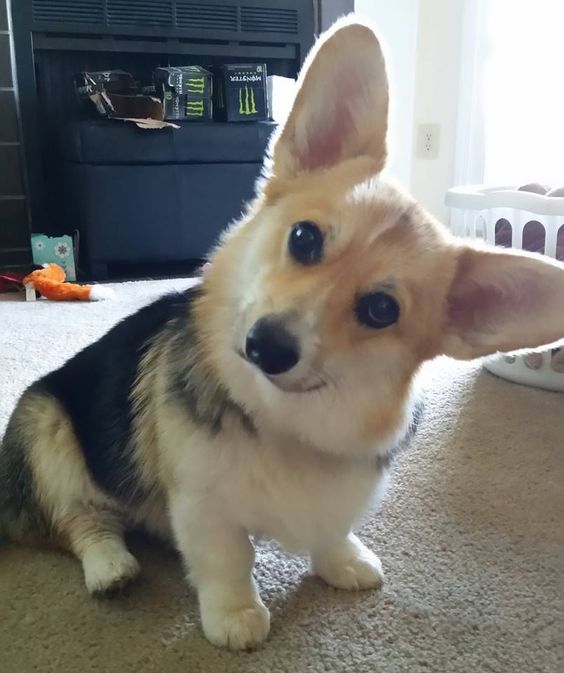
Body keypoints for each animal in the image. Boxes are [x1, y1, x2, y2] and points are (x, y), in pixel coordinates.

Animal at [1, 17, 564, 652]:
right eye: (304, 238)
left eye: (381, 309)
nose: (265, 346)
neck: (285, 415)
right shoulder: (203, 504)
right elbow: (228, 559)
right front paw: (236, 616)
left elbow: (332, 530)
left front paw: (343, 562)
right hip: (47, 431)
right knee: (81, 520)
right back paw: (111, 567)